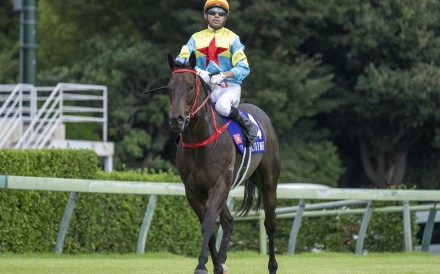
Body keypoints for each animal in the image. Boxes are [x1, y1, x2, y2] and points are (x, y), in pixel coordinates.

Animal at [167, 52, 280, 274]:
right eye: (169, 86)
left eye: (191, 86)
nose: (177, 119)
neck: (200, 141)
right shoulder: (193, 191)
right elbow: (209, 226)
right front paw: (216, 265)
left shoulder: (218, 184)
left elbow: (208, 223)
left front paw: (201, 265)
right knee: (228, 220)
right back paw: (221, 260)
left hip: (268, 183)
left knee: (270, 223)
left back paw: (272, 266)